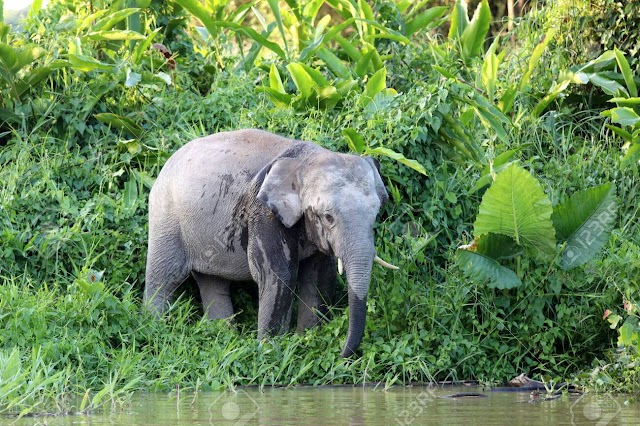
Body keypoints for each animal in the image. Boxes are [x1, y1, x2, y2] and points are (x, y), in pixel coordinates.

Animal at [144, 129, 396, 356]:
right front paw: (271, 351)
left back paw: (222, 337)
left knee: (212, 282)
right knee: (165, 277)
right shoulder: (263, 212)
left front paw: (307, 340)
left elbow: (319, 276)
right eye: (328, 217)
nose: (342, 354)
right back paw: (156, 327)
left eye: (376, 213)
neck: (308, 159)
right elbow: (279, 274)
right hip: (165, 218)